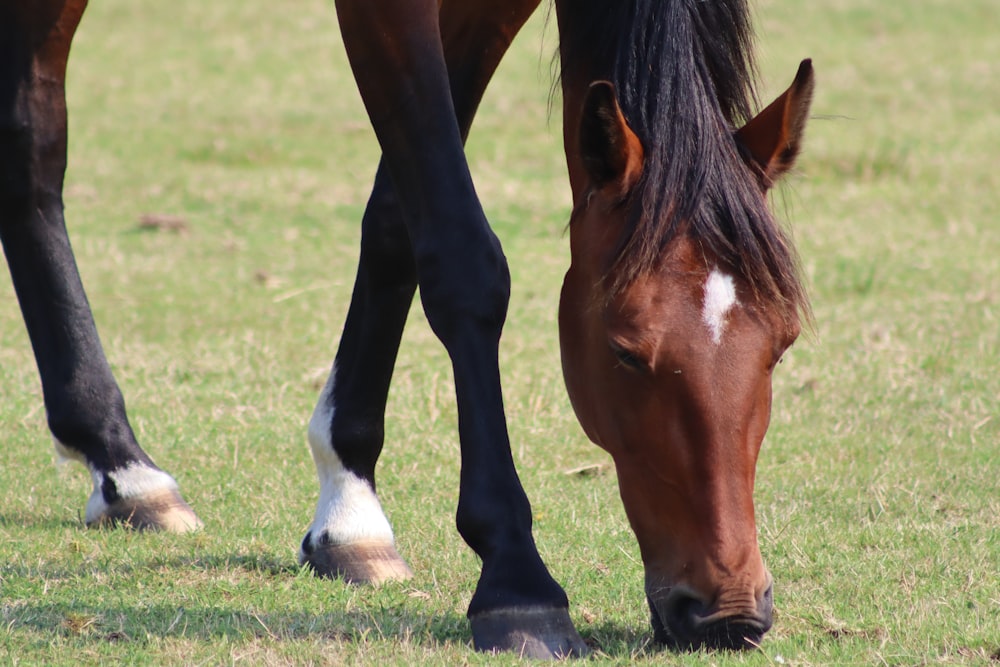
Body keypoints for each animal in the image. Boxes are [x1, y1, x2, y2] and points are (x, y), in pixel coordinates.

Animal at [0, 0, 808, 656]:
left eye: (783, 344)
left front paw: (350, 504)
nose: (729, 612)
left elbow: (396, 217)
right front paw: (517, 580)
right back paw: (119, 459)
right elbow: (460, 254)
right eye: (624, 351)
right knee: (31, 140)